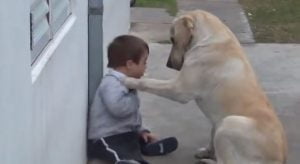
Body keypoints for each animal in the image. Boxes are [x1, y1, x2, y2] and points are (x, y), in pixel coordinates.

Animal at [123, 10, 286, 164]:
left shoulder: (179, 89)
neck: (211, 37)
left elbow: (149, 82)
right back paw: (206, 152)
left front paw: (129, 80)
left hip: (228, 123)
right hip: (219, 123)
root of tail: (280, 159)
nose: (169, 64)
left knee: (225, 161)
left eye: (173, 39)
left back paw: (207, 161)